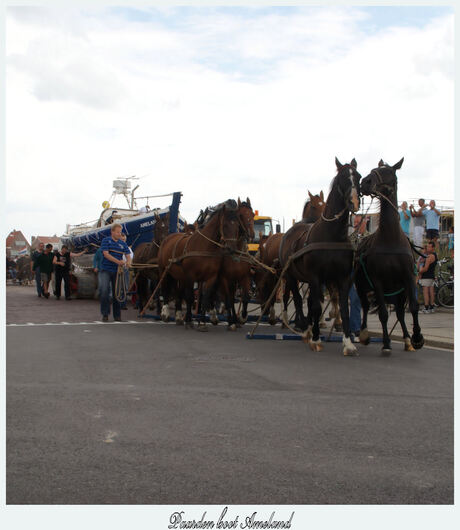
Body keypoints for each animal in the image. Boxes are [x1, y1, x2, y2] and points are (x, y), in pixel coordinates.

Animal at [157, 199, 239, 328]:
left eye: (237, 225)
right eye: (225, 225)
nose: (232, 249)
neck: (205, 246)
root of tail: (168, 238)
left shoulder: (211, 277)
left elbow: (206, 297)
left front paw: (202, 322)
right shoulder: (190, 276)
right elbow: (190, 298)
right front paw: (189, 320)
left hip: (179, 276)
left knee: (178, 293)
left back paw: (179, 316)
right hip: (164, 271)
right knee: (165, 289)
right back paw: (165, 313)